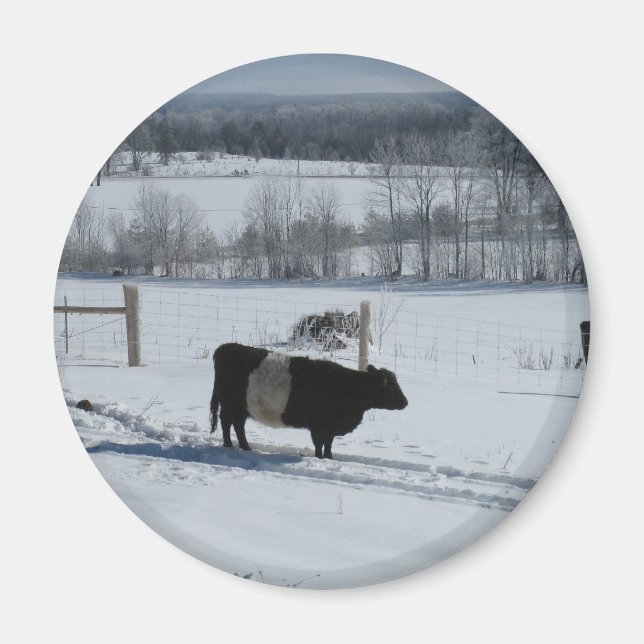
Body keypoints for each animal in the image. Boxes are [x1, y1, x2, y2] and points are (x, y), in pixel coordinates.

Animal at [209, 342, 408, 459]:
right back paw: (229, 445)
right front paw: (320, 458)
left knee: (237, 425)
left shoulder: (329, 427)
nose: (406, 402)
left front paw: (329, 458)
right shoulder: (319, 425)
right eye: (391, 387)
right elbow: (319, 444)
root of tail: (225, 347)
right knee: (227, 423)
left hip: (241, 407)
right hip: (230, 404)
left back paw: (245, 447)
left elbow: (328, 444)